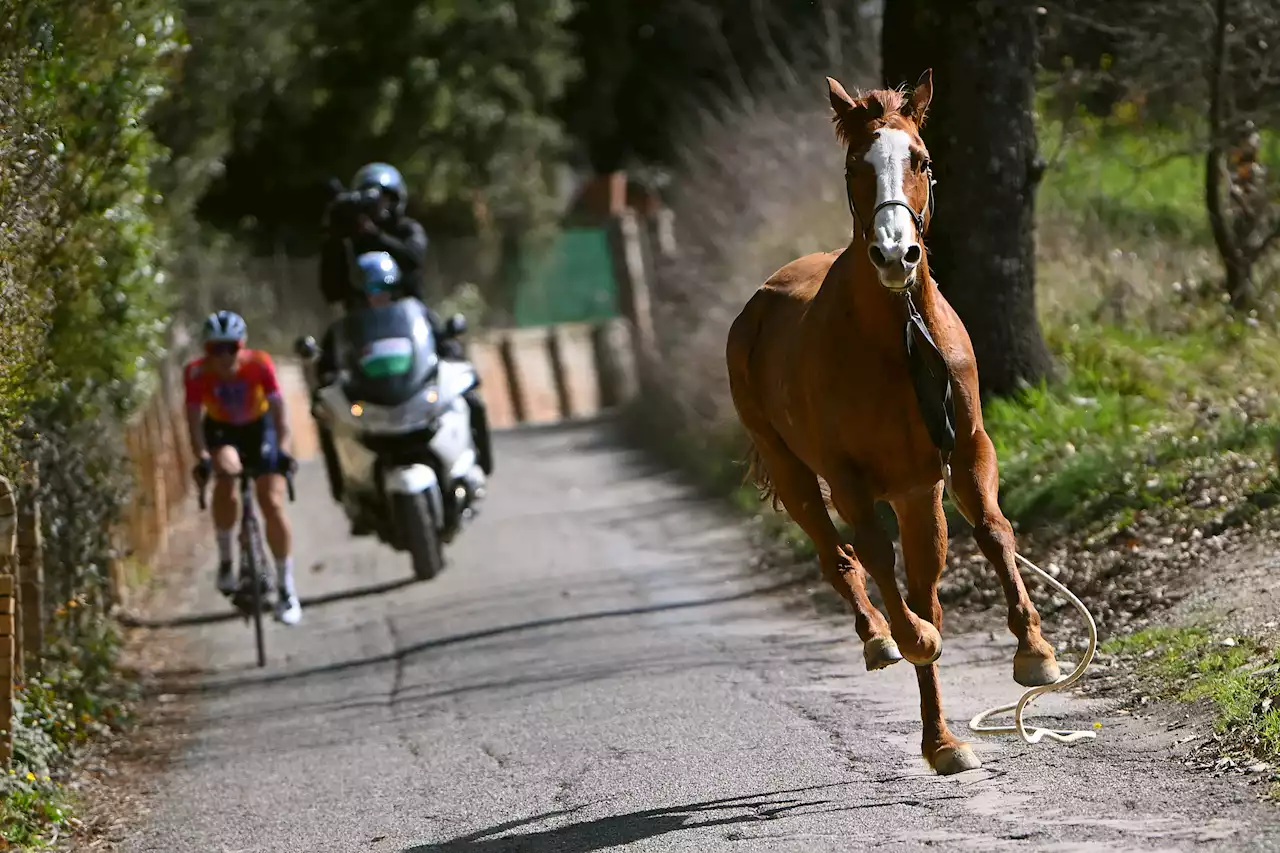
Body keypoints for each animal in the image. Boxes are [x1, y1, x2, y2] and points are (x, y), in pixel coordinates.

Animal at [727, 71, 1064, 778]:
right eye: (855, 165)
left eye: (922, 160)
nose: (894, 254)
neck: (898, 339)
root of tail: (759, 304)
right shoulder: (851, 480)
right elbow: (884, 568)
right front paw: (911, 637)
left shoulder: (959, 456)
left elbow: (993, 532)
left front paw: (1035, 652)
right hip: (795, 474)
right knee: (841, 559)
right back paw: (881, 640)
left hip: (917, 496)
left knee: (921, 581)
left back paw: (943, 741)